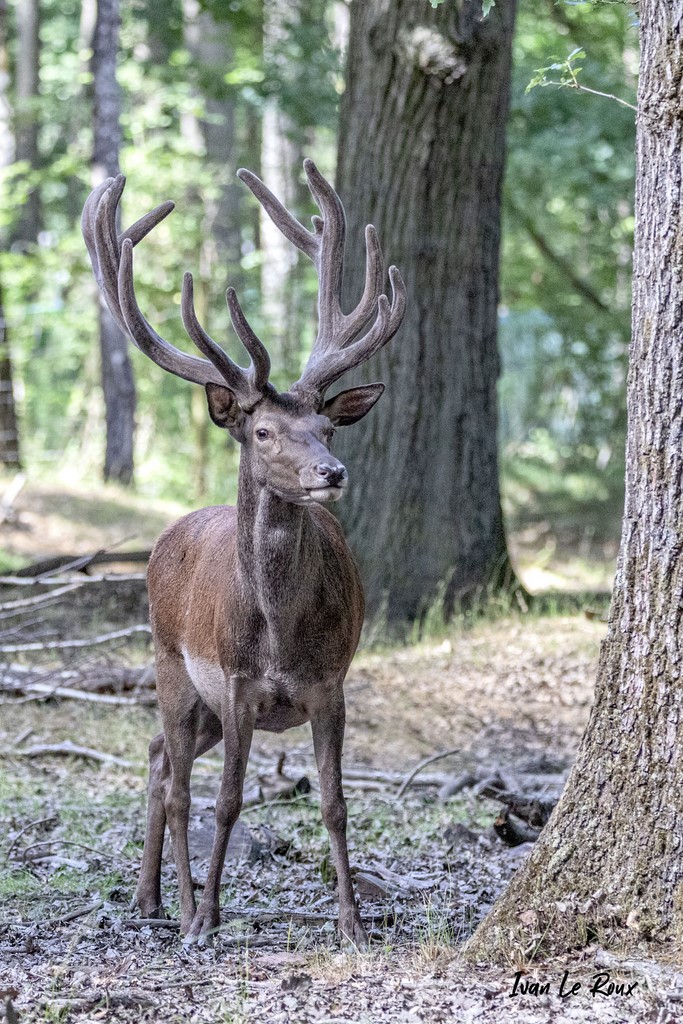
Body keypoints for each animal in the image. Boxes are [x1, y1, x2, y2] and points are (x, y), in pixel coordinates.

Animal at [81, 160, 406, 948]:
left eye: (327, 425)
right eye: (262, 431)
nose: (331, 472)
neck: (280, 635)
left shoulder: (331, 683)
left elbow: (335, 803)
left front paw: (352, 925)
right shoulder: (232, 684)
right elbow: (227, 800)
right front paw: (210, 917)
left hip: (196, 703)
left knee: (155, 757)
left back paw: (150, 898)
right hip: (172, 664)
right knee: (175, 781)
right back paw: (182, 907)